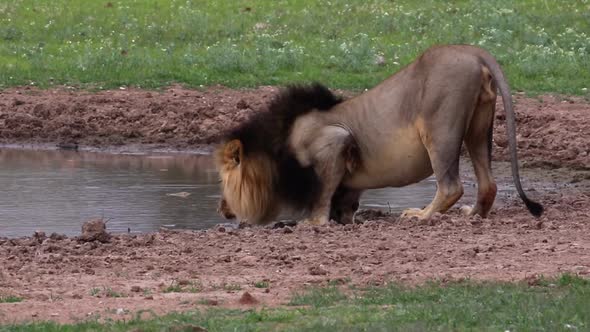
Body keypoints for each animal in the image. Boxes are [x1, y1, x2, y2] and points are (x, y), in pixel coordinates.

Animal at [217, 44, 544, 226]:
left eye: (223, 181)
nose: (220, 209)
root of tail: (472, 51)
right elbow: (345, 198)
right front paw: (344, 219)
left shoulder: (333, 141)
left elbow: (322, 194)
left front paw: (312, 223)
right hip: (477, 126)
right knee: (487, 185)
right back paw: (471, 215)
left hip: (440, 128)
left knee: (451, 186)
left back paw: (422, 216)